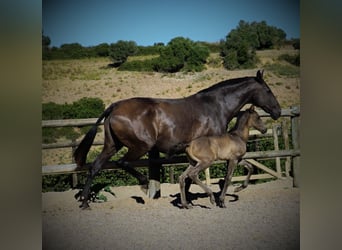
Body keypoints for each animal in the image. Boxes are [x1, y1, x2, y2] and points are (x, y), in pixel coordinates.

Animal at [74, 69, 280, 208]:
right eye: (268, 90)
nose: (278, 112)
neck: (216, 107)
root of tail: (114, 106)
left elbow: (188, 177)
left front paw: (187, 200)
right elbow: (193, 177)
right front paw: (202, 200)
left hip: (112, 145)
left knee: (95, 167)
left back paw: (84, 202)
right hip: (141, 145)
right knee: (122, 163)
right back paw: (143, 185)